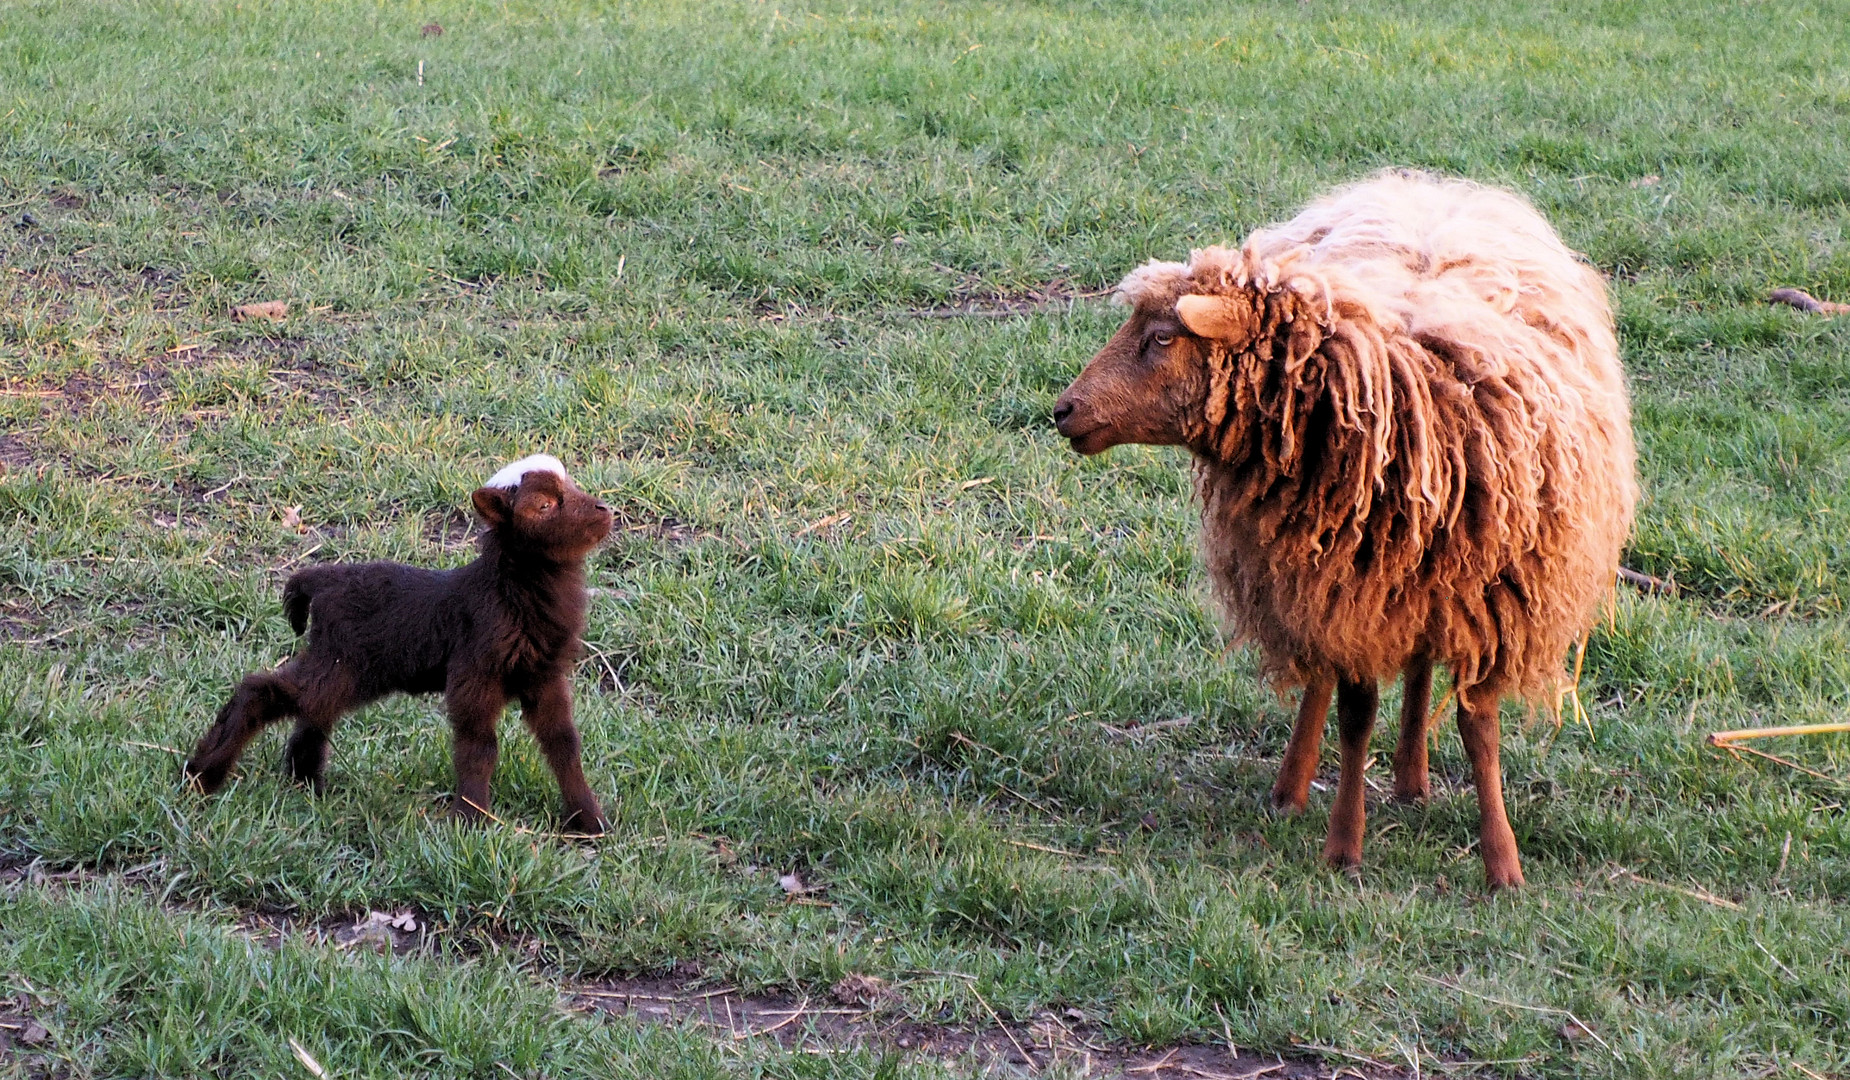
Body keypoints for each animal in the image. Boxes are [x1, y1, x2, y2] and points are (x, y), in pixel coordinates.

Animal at [183, 451, 614, 832]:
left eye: (571, 486)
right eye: (544, 505)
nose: (604, 509)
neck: (512, 590)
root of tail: (320, 580)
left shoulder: (545, 676)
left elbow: (564, 744)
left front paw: (590, 821)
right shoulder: (474, 673)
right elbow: (479, 747)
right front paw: (471, 820)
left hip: (341, 667)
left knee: (314, 711)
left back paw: (305, 782)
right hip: (342, 663)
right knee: (262, 690)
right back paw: (202, 775)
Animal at [1050, 172, 1642, 891]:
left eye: (1162, 337)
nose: (1063, 410)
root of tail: (1433, 187)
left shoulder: (1485, 599)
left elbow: (1479, 724)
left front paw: (1502, 862)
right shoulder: (1348, 593)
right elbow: (1354, 715)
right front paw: (1344, 847)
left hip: (1419, 584)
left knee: (1417, 668)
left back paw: (1412, 780)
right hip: (1318, 577)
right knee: (1321, 680)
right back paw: (1293, 786)